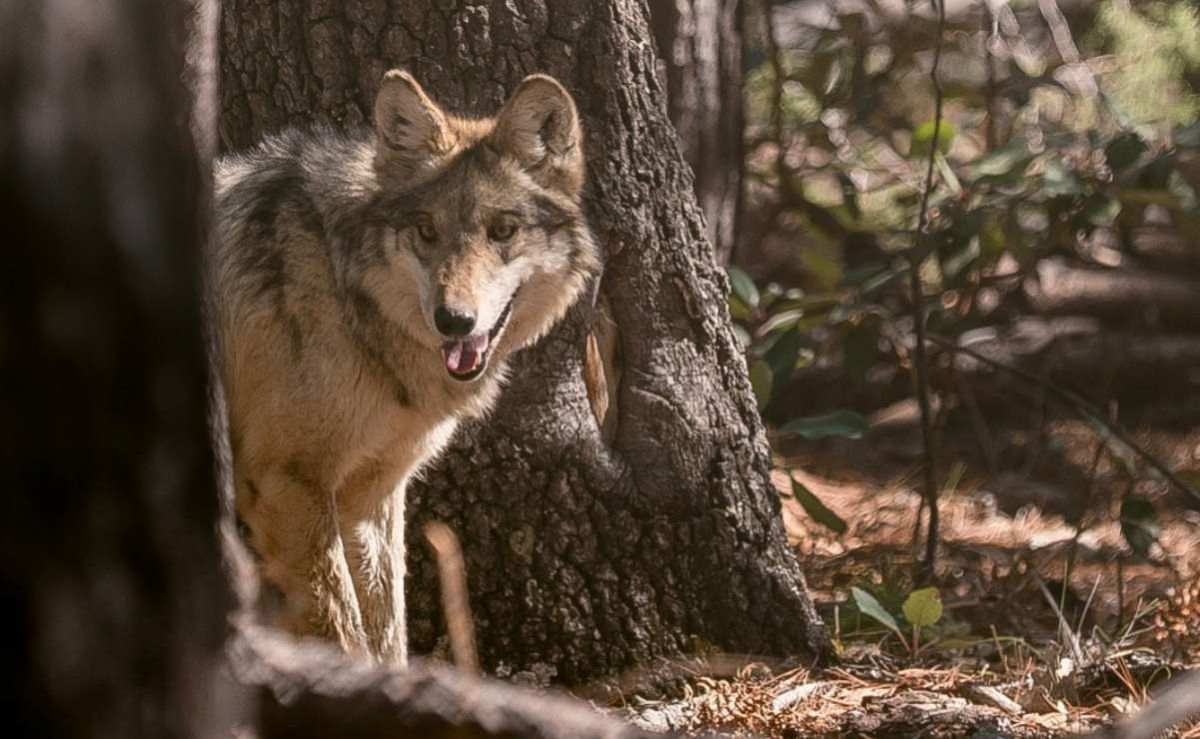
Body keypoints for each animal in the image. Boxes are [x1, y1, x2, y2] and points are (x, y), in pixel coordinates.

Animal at [212, 70, 598, 663]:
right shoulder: (288, 483)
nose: (454, 320)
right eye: (426, 230)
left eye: (503, 230)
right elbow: (343, 631)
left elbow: (387, 630)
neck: (342, 286)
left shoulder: (372, 496)